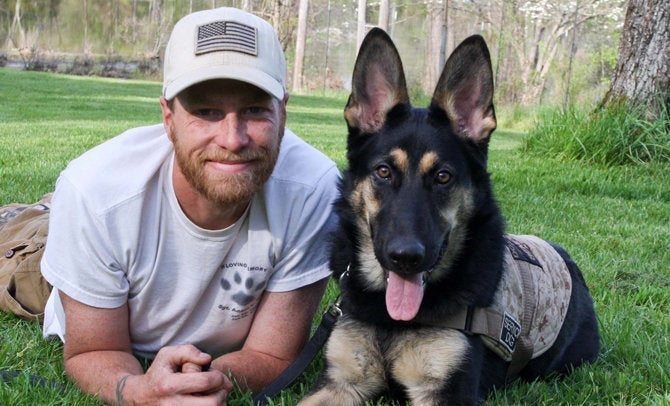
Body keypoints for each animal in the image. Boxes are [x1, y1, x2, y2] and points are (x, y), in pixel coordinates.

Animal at [302, 27, 600, 404]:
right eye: (383, 171)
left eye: (443, 177)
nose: (405, 258)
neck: (390, 317)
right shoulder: (339, 381)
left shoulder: (446, 392)